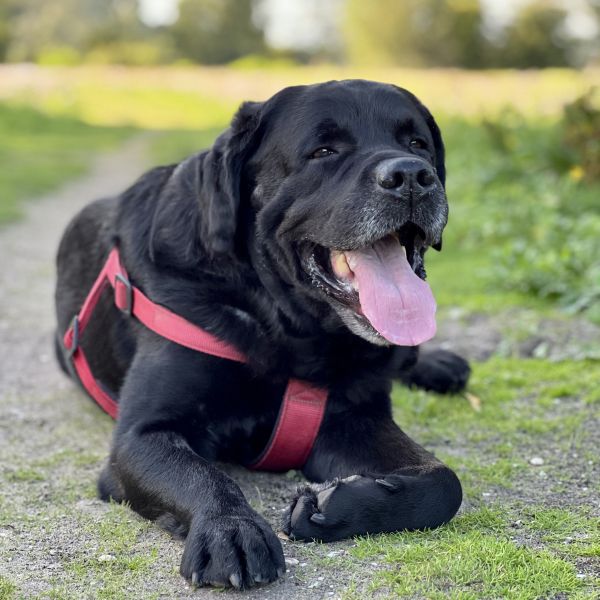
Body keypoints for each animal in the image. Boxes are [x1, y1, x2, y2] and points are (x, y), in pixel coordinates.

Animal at [55, 77, 468, 588]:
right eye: (323, 150)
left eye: (417, 144)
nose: (411, 175)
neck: (292, 328)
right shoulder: (142, 434)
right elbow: (202, 475)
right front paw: (230, 530)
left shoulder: (356, 417)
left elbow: (445, 482)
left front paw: (335, 504)